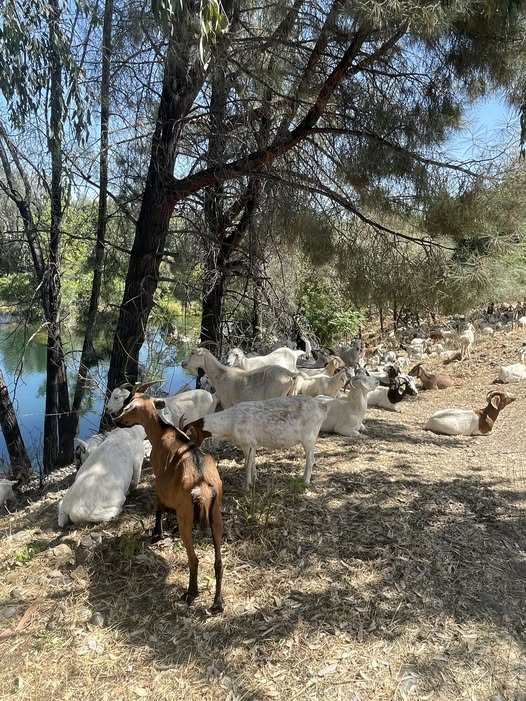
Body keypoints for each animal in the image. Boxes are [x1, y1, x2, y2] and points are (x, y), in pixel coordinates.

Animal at [115, 394, 224, 612]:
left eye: (128, 407)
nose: (116, 421)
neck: (162, 432)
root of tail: (203, 488)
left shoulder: (159, 477)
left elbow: (158, 505)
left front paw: (157, 532)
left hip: (186, 518)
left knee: (193, 558)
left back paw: (191, 593)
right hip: (216, 516)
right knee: (219, 562)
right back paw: (218, 602)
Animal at [184, 395, 328, 489]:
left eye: (188, 435)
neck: (230, 422)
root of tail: (321, 405)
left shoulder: (247, 443)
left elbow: (247, 464)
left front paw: (247, 486)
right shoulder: (253, 444)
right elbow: (252, 461)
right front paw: (255, 478)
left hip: (308, 438)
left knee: (310, 459)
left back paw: (306, 481)